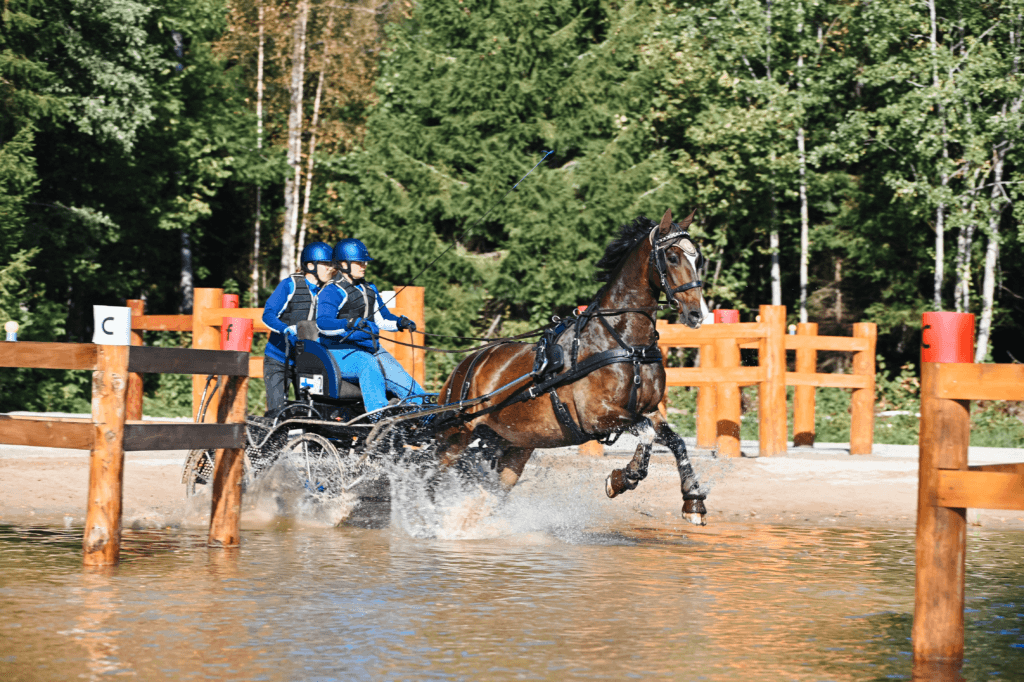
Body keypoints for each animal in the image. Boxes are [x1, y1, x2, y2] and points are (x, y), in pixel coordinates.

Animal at [434, 209, 712, 522]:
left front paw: (692, 500)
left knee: (492, 491)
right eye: (673, 257)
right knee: (429, 476)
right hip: (454, 435)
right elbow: (646, 432)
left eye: (699, 259)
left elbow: (675, 441)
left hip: (513, 445)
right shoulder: (596, 416)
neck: (625, 343)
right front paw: (623, 478)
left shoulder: (650, 409)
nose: (696, 314)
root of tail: (468, 364)